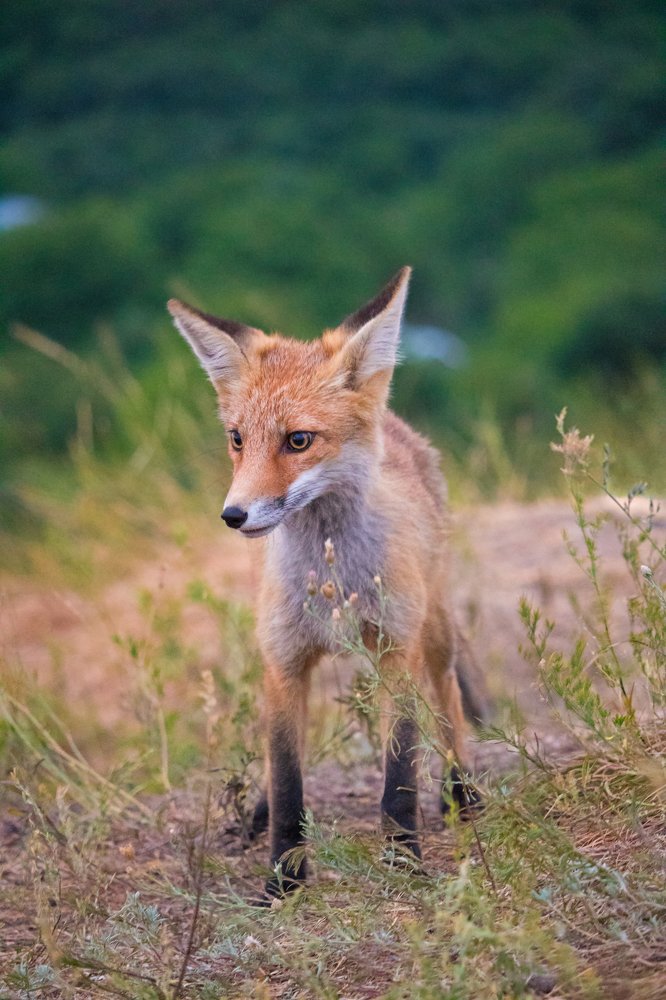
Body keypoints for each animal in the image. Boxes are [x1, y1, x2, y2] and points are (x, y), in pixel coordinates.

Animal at [168, 267, 487, 900]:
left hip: (433, 631)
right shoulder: (283, 659)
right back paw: (258, 811)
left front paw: (404, 862)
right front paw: (282, 882)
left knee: (449, 704)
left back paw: (461, 791)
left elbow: (399, 776)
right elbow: (289, 780)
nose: (233, 515)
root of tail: (398, 427)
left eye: (298, 440)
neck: (334, 580)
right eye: (237, 439)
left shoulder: (395, 650)